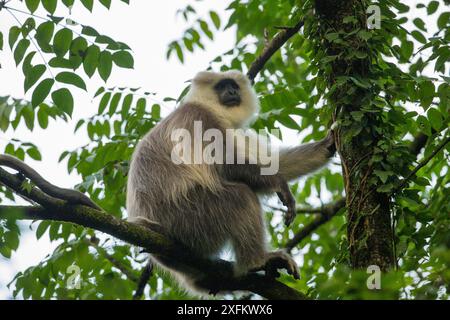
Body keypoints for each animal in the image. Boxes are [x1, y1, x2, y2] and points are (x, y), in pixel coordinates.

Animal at [126, 71, 334, 294]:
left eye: (233, 85)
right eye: (222, 86)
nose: (232, 92)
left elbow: (275, 164)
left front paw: (327, 145)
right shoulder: (198, 116)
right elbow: (225, 165)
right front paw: (279, 184)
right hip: (187, 216)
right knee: (241, 196)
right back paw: (258, 261)